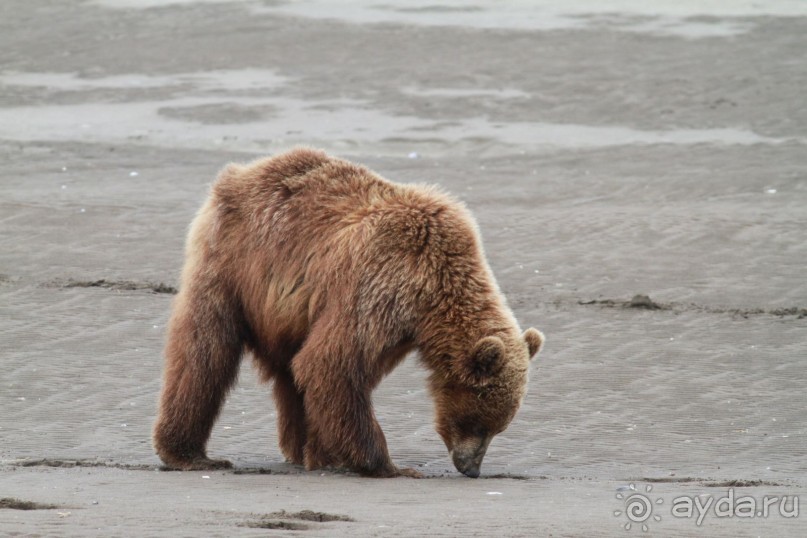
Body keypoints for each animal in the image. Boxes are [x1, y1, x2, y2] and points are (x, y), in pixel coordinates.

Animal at [153, 148, 544, 478]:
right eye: (479, 423)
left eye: (498, 427)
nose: (471, 468)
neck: (433, 297)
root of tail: (241, 172)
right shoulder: (382, 287)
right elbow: (333, 364)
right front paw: (390, 466)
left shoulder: (400, 327)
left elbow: (327, 373)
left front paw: (332, 452)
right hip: (231, 263)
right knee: (205, 352)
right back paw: (190, 454)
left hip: (286, 307)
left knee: (289, 371)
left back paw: (304, 451)